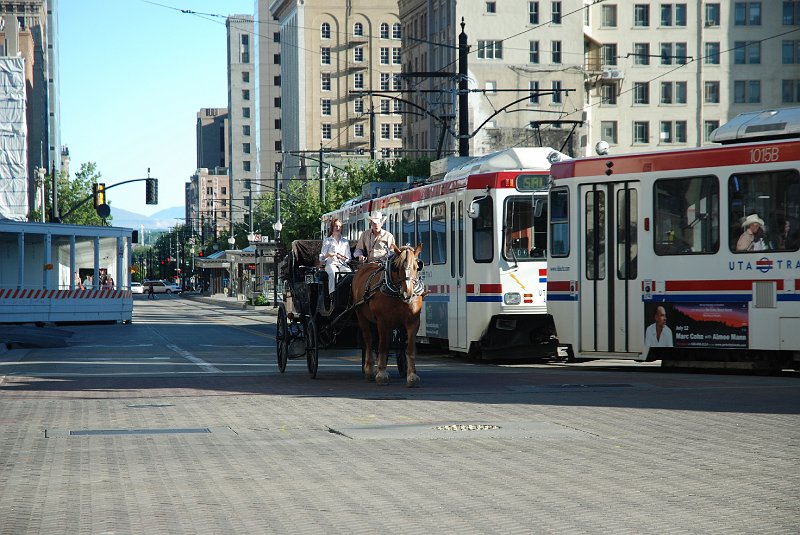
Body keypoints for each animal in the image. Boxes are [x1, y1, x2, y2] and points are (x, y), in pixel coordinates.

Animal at [352, 243, 424, 386]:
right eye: (397, 267)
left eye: (416, 266)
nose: (408, 293)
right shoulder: (382, 322)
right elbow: (383, 346)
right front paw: (381, 374)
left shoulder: (413, 321)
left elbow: (410, 348)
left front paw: (412, 375)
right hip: (362, 317)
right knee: (369, 342)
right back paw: (369, 370)